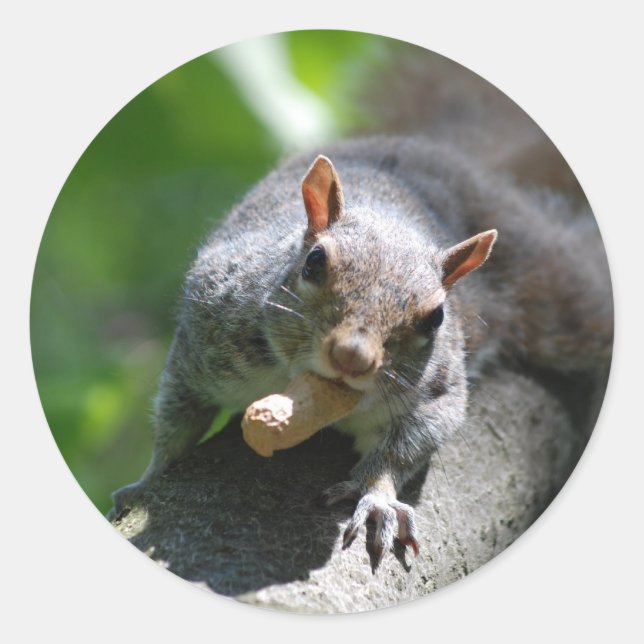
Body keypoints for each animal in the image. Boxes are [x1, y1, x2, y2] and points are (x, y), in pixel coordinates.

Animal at [110, 53, 613, 566]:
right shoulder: (206, 336)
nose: (353, 357)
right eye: (314, 262)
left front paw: (378, 499)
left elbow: (404, 448)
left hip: (560, 294)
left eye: (437, 317)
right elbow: (177, 419)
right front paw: (147, 481)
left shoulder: (438, 391)